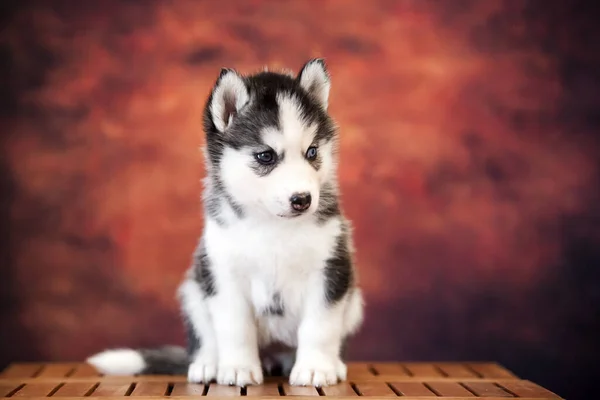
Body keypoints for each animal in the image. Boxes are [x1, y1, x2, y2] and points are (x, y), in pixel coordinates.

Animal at [86, 59, 364, 388]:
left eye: (312, 152)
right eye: (265, 156)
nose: (303, 200)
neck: (271, 226)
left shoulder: (331, 270)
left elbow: (319, 326)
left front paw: (315, 368)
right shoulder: (223, 272)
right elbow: (234, 327)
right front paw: (238, 367)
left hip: (354, 305)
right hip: (194, 290)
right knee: (205, 337)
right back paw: (208, 364)